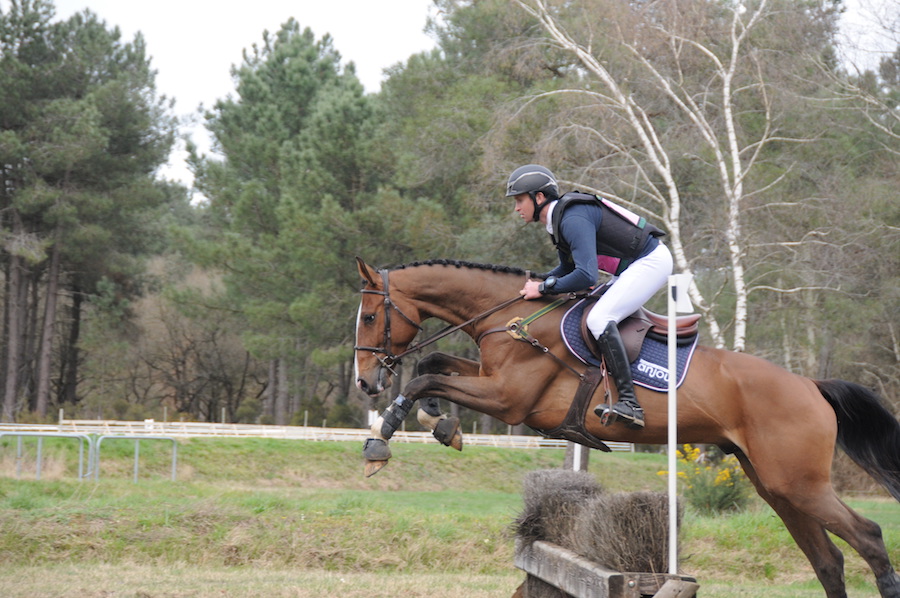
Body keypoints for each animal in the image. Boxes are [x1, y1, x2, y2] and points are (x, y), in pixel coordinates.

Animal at [352, 258, 900, 598]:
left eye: (371, 316)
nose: (364, 381)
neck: (513, 318)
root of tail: (810, 385)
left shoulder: (509, 400)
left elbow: (423, 375)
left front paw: (382, 439)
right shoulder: (491, 382)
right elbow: (434, 364)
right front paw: (441, 423)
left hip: (798, 482)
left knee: (869, 537)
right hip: (776, 486)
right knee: (828, 560)